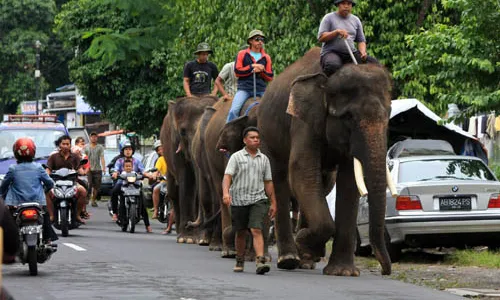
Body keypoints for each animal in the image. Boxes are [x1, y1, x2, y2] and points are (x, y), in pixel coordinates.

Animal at [159, 96, 216, 244]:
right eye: (183, 131)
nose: (190, 223)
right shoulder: (175, 144)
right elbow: (187, 179)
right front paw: (188, 239)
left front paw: (197, 239)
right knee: (173, 192)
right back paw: (179, 232)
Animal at [252, 47, 392, 276]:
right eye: (349, 117)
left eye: (388, 116)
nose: (384, 271)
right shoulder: (303, 119)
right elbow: (301, 169)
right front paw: (304, 243)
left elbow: (349, 182)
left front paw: (343, 272)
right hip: (266, 135)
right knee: (278, 179)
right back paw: (289, 259)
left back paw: (305, 260)